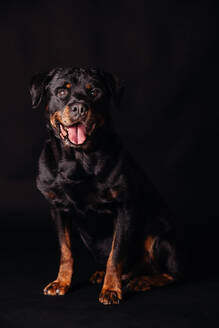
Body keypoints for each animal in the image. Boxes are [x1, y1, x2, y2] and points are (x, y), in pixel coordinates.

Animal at [29, 66, 180, 304]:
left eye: (94, 92)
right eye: (62, 91)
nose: (79, 107)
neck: (79, 161)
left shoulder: (124, 209)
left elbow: (115, 255)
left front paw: (111, 289)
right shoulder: (57, 209)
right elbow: (66, 251)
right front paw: (61, 282)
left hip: (158, 237)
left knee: (170, 273)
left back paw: (143, 281)